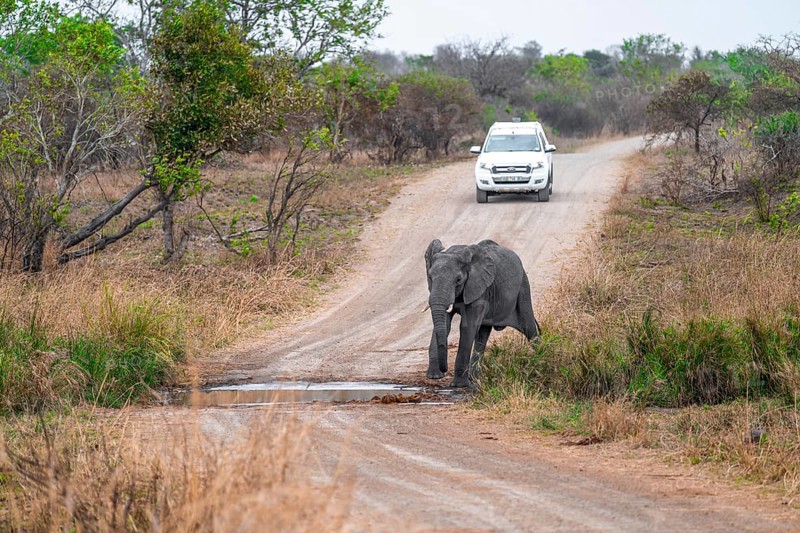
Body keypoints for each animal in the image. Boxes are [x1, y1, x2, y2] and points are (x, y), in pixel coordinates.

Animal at [424, 239, 540, 388]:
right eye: (430, 277)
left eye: (458, 280)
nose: (444, 371)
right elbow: (446, 323)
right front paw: (434, 376)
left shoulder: (480, 288)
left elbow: (467, 327)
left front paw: (459, 385)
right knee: (483, 334)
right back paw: (475, 378)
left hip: (523, 287)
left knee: (529, 328)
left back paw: (540, 359)